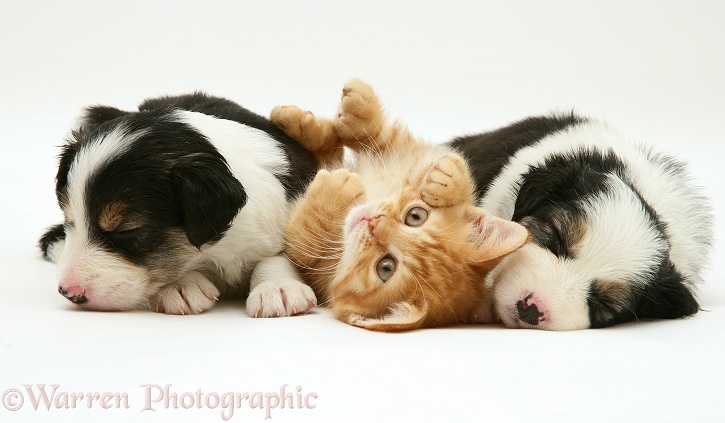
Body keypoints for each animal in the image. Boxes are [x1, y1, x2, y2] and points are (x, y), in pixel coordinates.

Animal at [39, 93, 316, 318]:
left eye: (127, 230)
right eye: (70, 221)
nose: (69, 292)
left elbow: (280, 255)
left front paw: (277, 288)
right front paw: (181, 287)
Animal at [272, 78, 528, 332]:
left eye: (386, 267)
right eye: (416, 216)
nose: (374, 221)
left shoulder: (312, 268)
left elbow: (300, 240)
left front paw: (335, 190)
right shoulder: (407, 155)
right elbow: (392, 140)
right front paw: (447, 180)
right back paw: (302, 123)